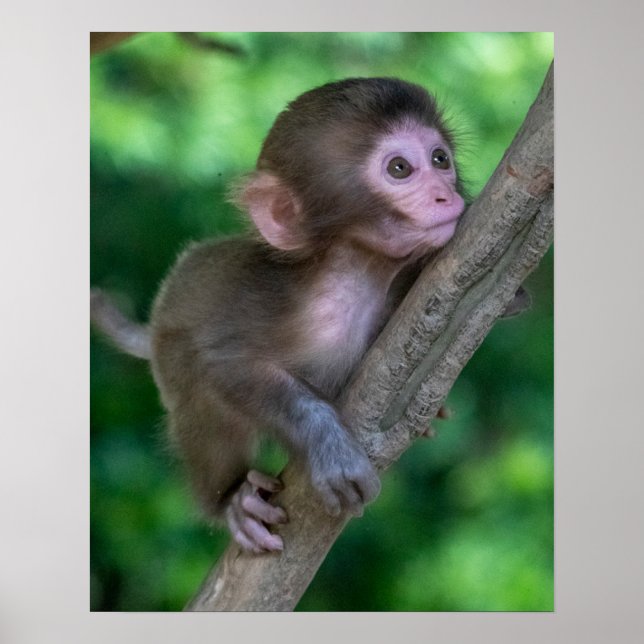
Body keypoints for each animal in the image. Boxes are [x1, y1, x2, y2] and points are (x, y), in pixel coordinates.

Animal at [92, 77, 467, 554]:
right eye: (400, 168)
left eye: (440, 159)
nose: (446, 194)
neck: (355, 278)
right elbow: (223, 364)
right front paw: (328, 446)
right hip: (170, 355)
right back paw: (232, 500)